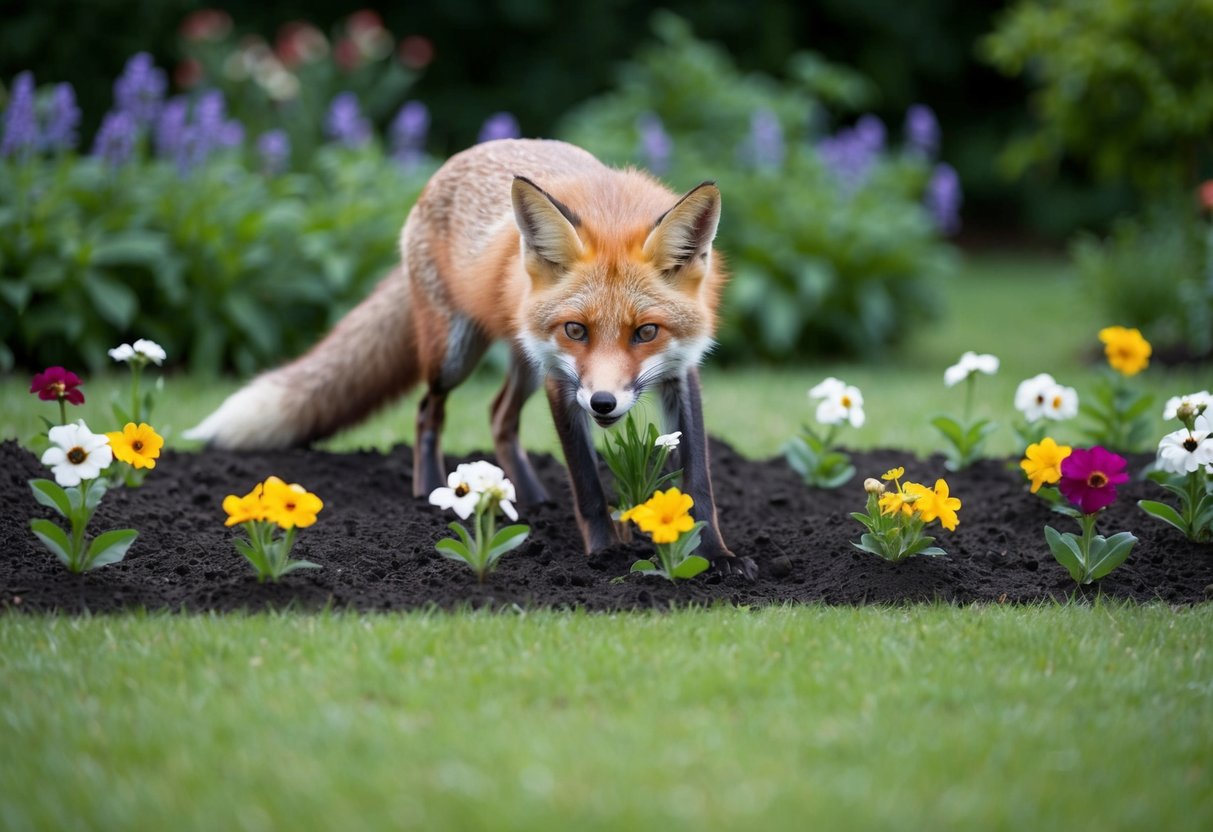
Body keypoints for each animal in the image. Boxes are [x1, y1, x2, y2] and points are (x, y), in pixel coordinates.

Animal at [186, 138, 756, 578]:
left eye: (646, 332)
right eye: (576, 329)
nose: (602, 404)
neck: (612, 209)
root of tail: (453, 162)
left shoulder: (680, 372)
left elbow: (698, 482)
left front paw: (715, 556)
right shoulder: (563, 379)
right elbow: (588, 482)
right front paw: (605, 552)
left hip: (524, 361)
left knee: (499, 416)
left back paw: (531, 497)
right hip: (456, 356)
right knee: (427, 411)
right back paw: (429, 491)